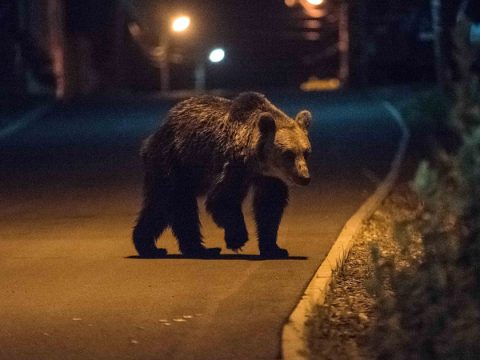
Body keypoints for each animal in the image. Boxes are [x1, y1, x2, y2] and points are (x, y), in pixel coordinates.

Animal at [132, 91, 312, 258]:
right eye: (288, 154)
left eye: (306, 152)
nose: (304, 177)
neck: (257, 161)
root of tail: (157, 131)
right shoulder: (235, 166)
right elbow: (223, 198)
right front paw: (238, 238)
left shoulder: (269, 177)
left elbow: (269, 205)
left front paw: (275, 249)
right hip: (173, 161)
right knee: (172, 202)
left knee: (166, 206)